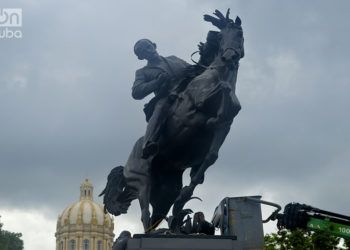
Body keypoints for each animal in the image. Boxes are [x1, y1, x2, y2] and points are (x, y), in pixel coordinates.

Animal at [100, 9, 245, 232]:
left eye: (239, 33)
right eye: (221, 36)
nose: (229, 56)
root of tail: (124, 168)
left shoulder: (224, 129)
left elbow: (211, 155)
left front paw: (185, 196)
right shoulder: (196, 101)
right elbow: (223, 89)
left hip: (165, 192)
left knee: (156, 216)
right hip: (142, 180)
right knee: (144, 214)